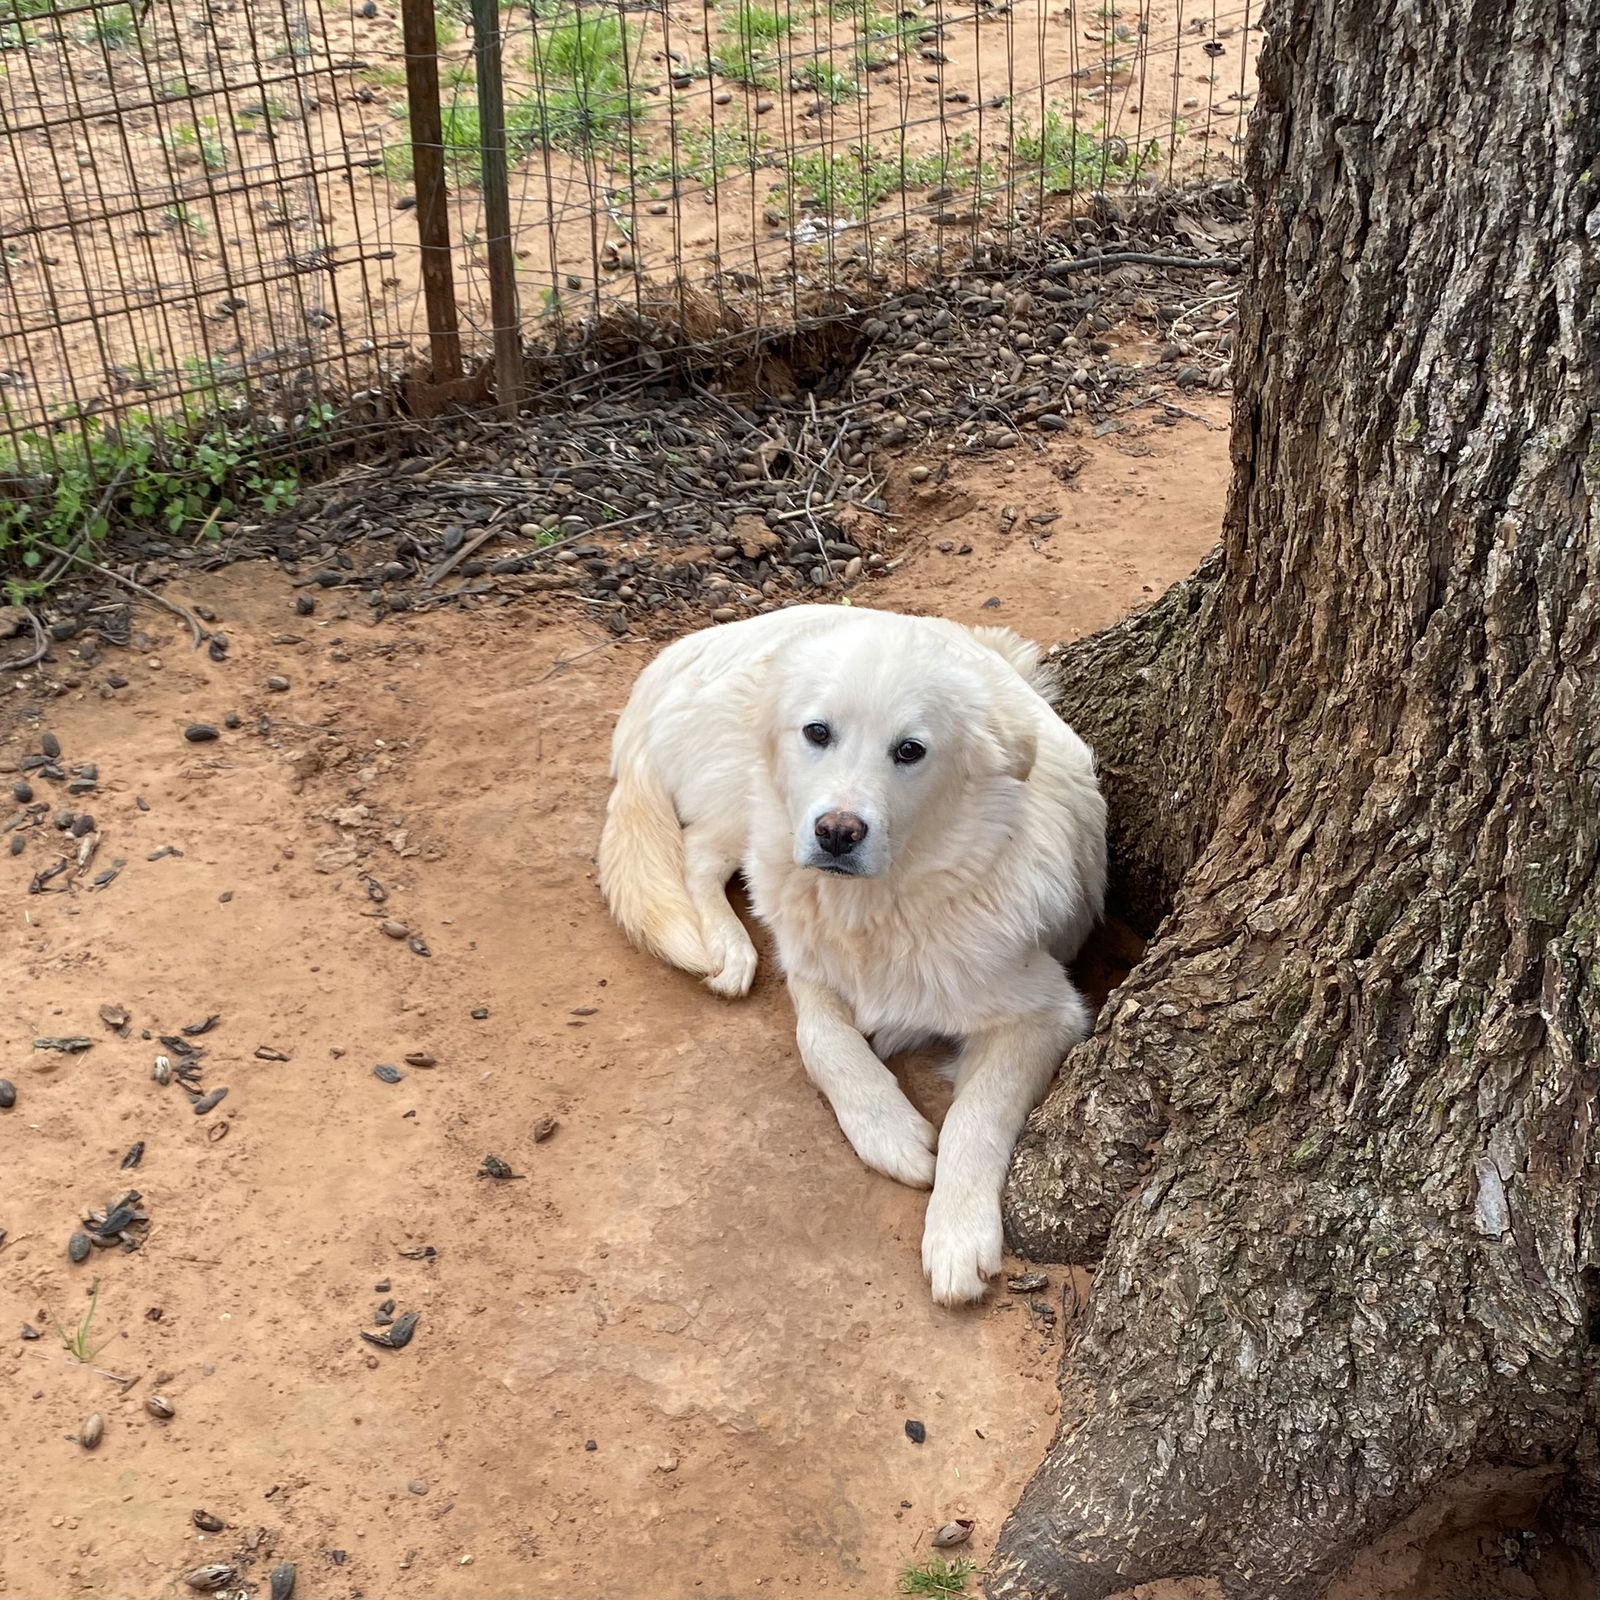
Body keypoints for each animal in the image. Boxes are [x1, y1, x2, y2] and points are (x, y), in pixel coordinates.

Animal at [595, 601, 1107, 1299]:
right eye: (818, 732)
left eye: (910, 750)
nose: (837, 832)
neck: (878, 911)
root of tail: (674, 660)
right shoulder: (812, 969)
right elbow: (822, 1040)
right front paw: (887, 1131)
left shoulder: (1046, 1014)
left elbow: (975, 1115)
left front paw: (957, 1235)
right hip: (749, 806)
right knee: (701, 857)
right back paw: (728, 950)